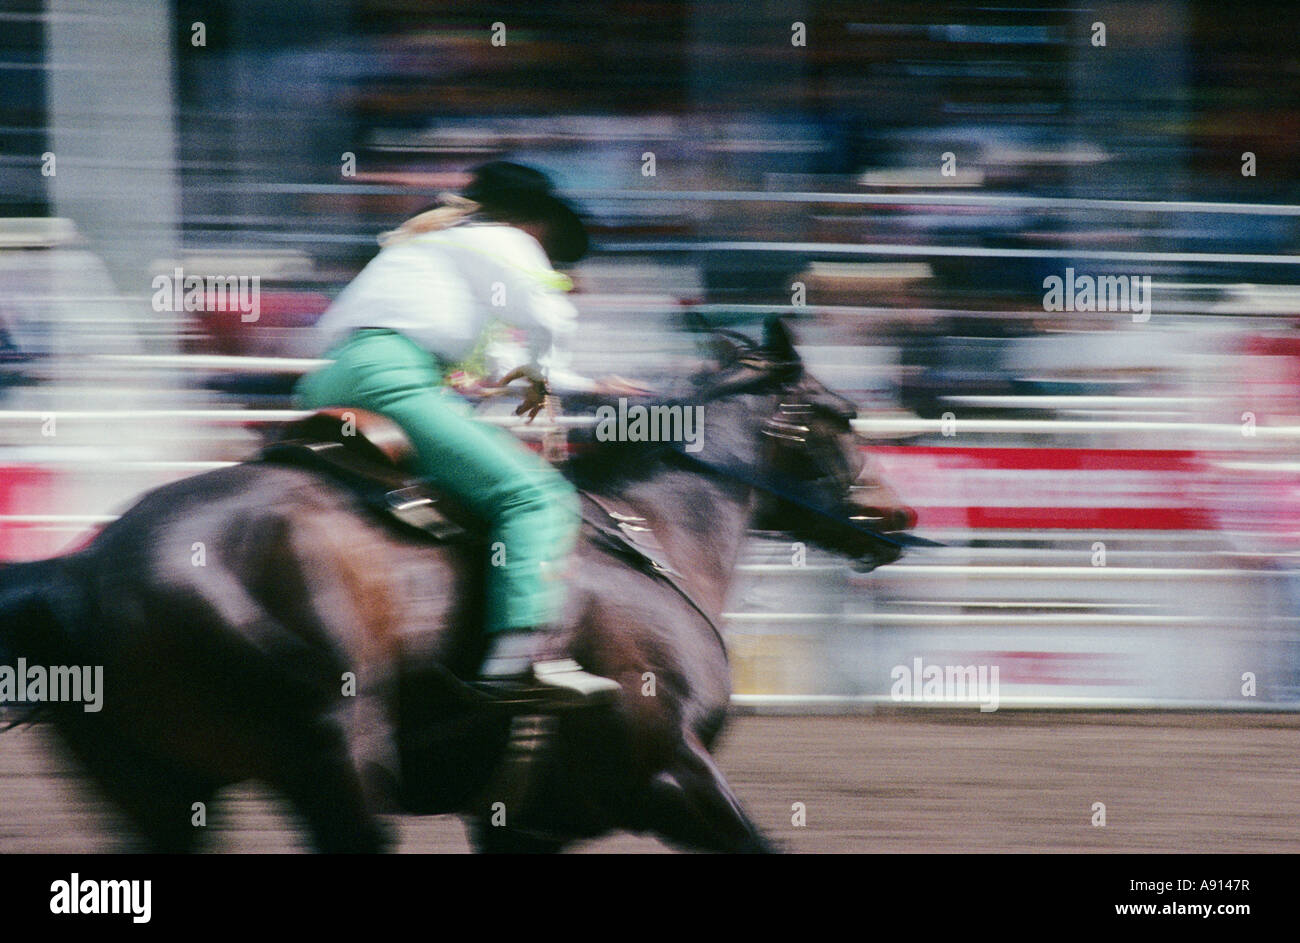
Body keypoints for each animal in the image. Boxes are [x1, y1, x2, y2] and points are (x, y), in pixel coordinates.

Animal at [0, 318, 915, 853]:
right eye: (841, 413)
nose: (897, 511)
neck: (656, 533)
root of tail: (78, 570)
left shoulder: (527, 823)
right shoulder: (671, 776)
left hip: (159, 794)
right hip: (338, 759)